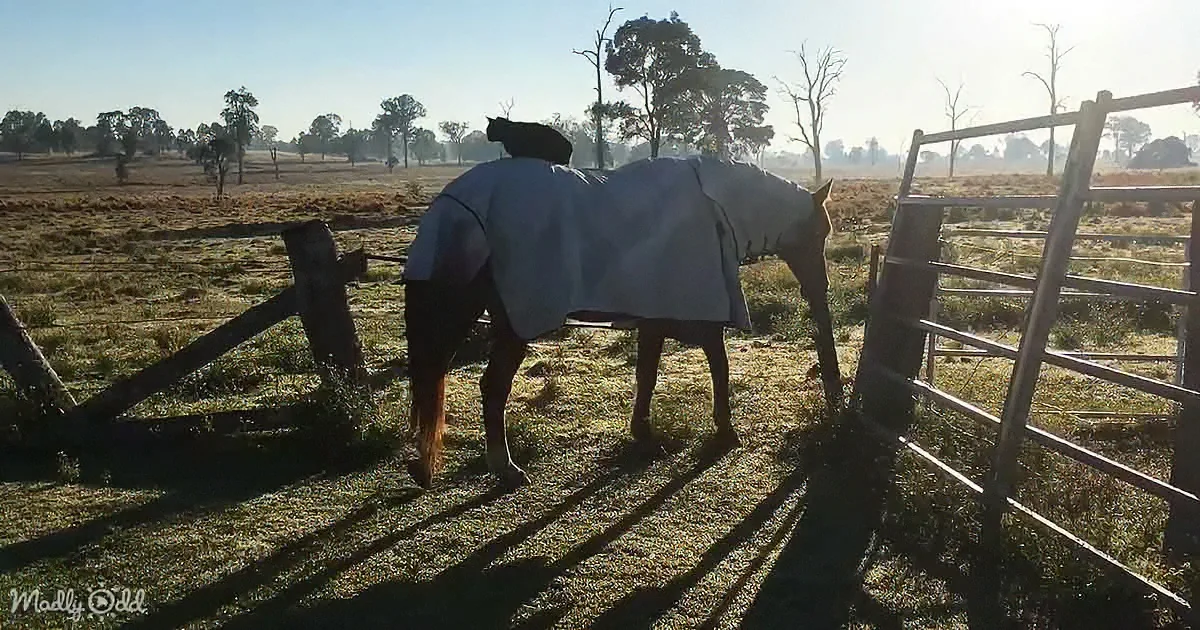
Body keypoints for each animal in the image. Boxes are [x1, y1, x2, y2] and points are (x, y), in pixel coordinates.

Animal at [401, 155, 843, 490]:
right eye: (820, 231)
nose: (819, 288)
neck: (715, 210)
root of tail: (452, 202)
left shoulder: (654, 319)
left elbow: (647, 374)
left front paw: (643, 432)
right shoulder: (701, 314)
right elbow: (720, 367)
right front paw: (725, 430)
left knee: (430, 380)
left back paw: (424, 465)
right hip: (507, 323)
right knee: (489, 386)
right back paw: (504, 468)